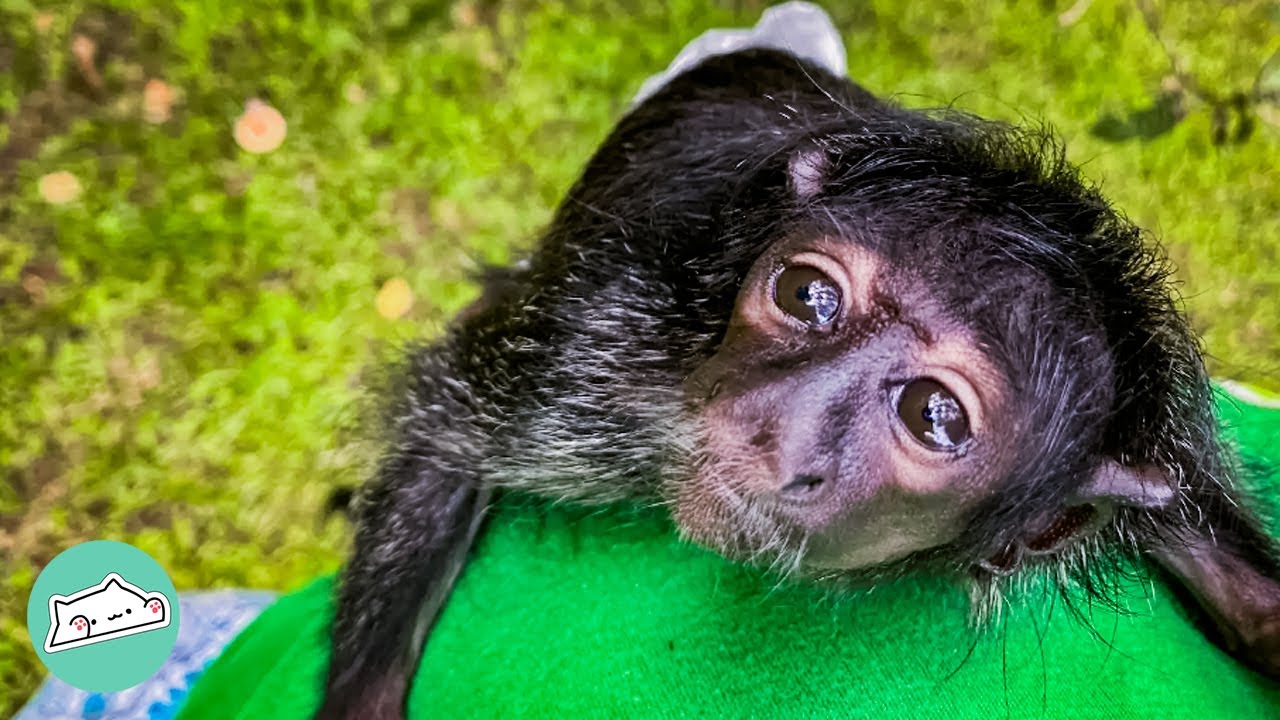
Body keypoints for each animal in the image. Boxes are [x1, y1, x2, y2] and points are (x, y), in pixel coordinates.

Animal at [316, 43, 1280, 720]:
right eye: (805, 294)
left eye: (934, 415)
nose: (769, 420)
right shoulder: (603, 342)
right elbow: (441, 435)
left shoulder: (1164, 446)